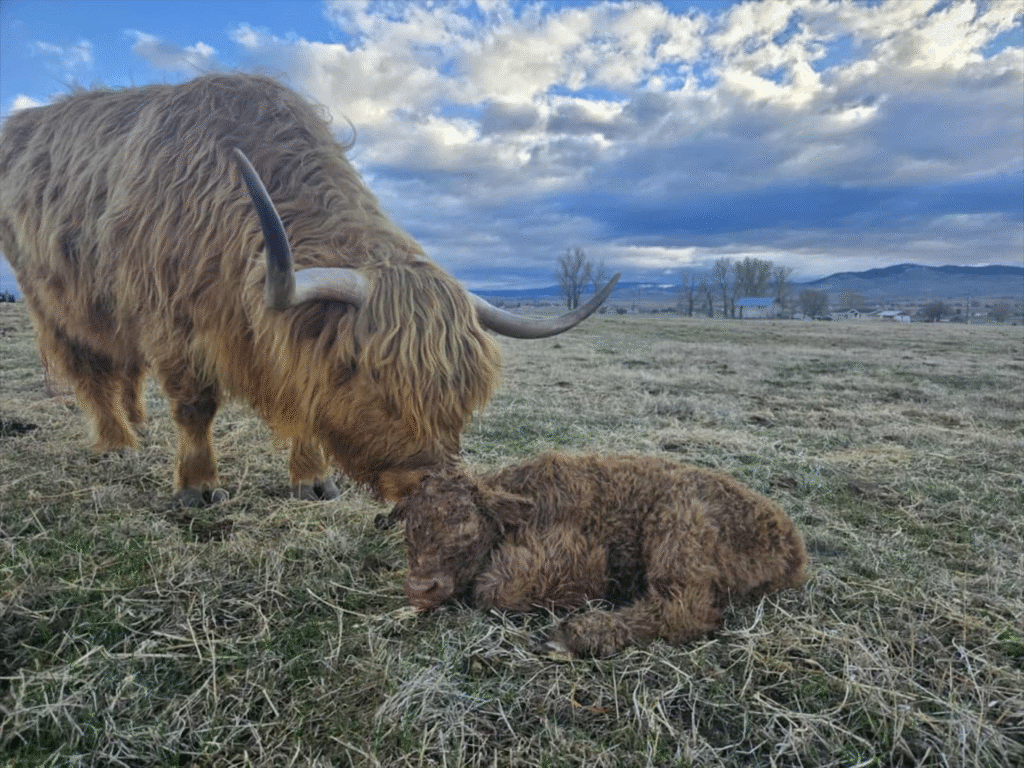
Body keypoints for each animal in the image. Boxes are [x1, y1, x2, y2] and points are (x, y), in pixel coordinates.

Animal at [0, 74, 617, 506]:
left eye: (464, 395)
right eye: (368, 376)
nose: (431, 486)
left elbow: (303, 401)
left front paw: (313, 481)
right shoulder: (171, 320)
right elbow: (195, 406)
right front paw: (198, 486)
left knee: (125, 369)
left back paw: (139, 424)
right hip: (56, 301)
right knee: (93, 371)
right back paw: (117, 442)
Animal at [391, 453, 807, 657]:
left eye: (468, 531)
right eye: (410, 532)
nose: (420, 588)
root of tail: (791, 544)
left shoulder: (570, 558)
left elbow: (493, 589)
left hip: (678, 528)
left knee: (682, 609)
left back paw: (574, 635)